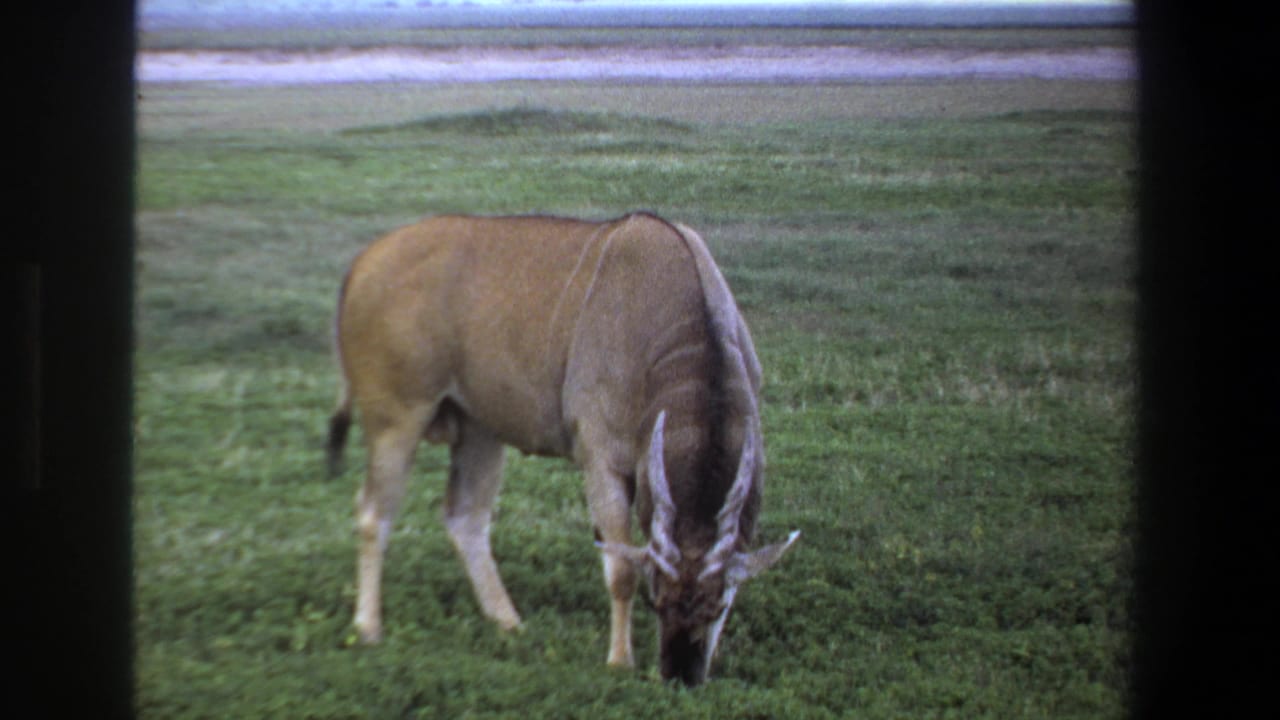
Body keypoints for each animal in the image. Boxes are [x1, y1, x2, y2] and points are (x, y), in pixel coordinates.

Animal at [327, 212, 798, 685]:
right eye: (655, 598)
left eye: (719, 605)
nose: (680, 675)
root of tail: (363, 262)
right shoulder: (601, 460)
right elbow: (620, 569)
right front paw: (619, 661)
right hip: (397, 417)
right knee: (373, 513)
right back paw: (368, 627)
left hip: (479, 430)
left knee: (465, 519)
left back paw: (509, 622)